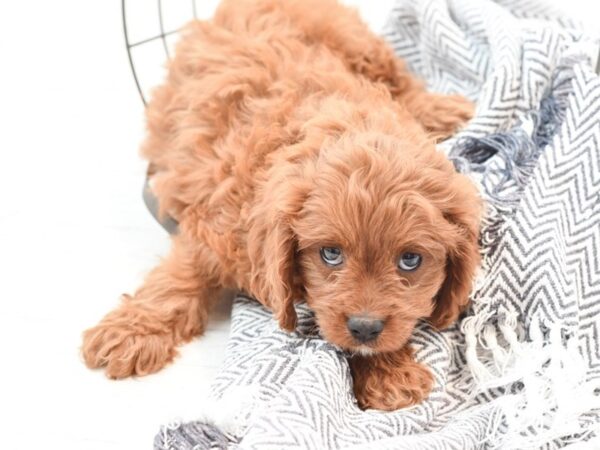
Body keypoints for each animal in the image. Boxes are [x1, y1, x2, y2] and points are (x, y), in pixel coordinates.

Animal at [82, 0, 480, 410]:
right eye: (330, 254)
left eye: (410, 260)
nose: (365, 327)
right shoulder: (214, 226)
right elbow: (181, 274)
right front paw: (132, 330)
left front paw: (388, 371)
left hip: (358, 43)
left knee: (400, 80)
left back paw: (441, 110)